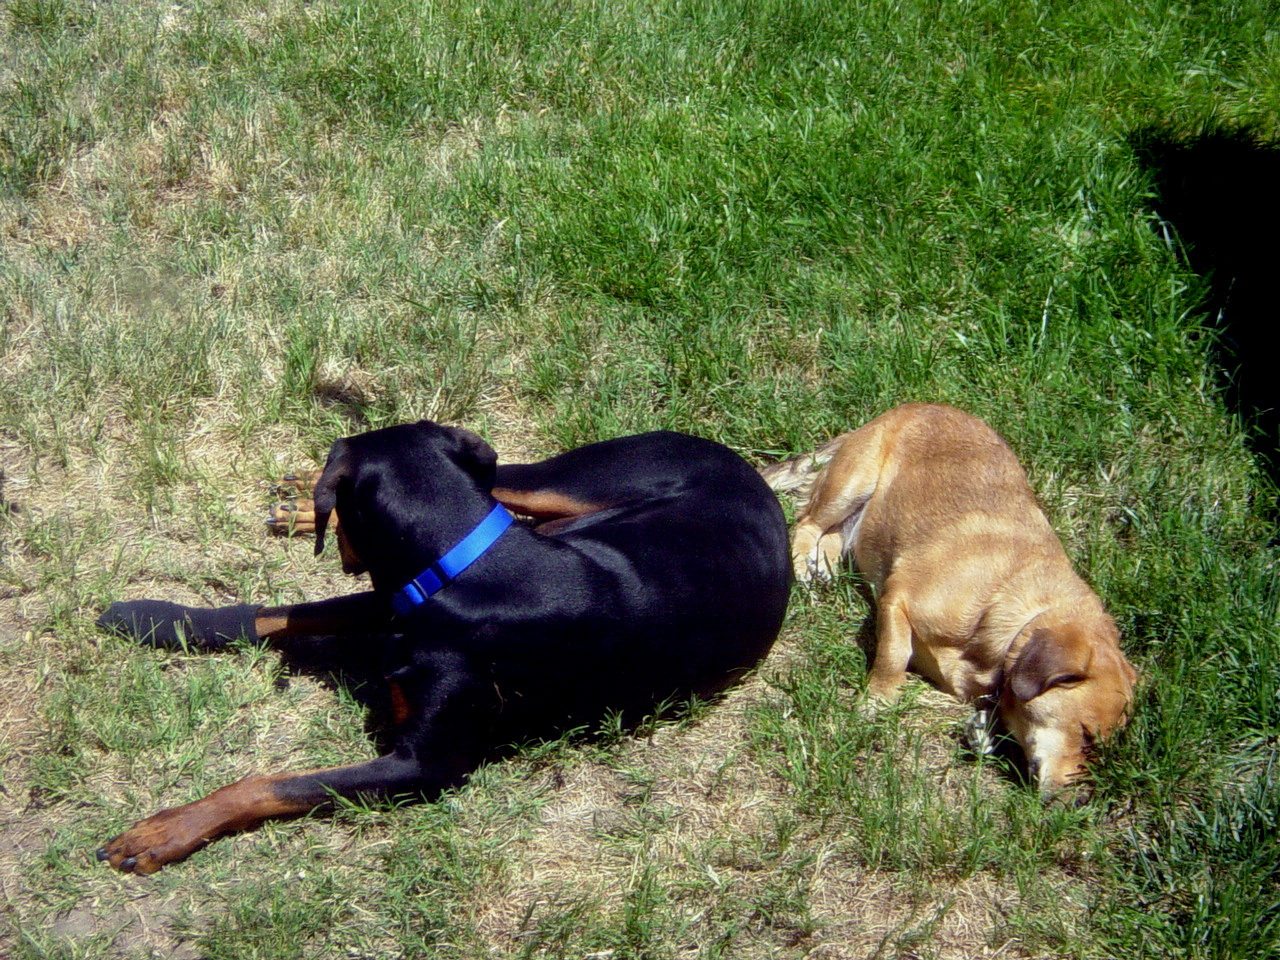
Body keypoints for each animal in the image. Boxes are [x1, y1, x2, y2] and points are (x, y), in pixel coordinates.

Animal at [96, 423, 790, 873]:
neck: (466, 559)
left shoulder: (422, 765)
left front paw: (164, 831)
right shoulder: (396, 596)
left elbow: (270, 783)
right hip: (562, 490)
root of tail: (751, 471)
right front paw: (156, 619)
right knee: (510, 484)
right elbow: (282, 613)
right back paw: (295, 504)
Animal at [761, 403, 1136, 793]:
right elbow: (894, 655)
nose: (1078, 802)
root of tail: (908, 406)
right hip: (850, 483)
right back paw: (803, 561)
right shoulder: (897, 598)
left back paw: (824, 563)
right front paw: (879, 701)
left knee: (836, 534)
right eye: (1085, 735)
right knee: (807, 520)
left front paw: (986, 732)